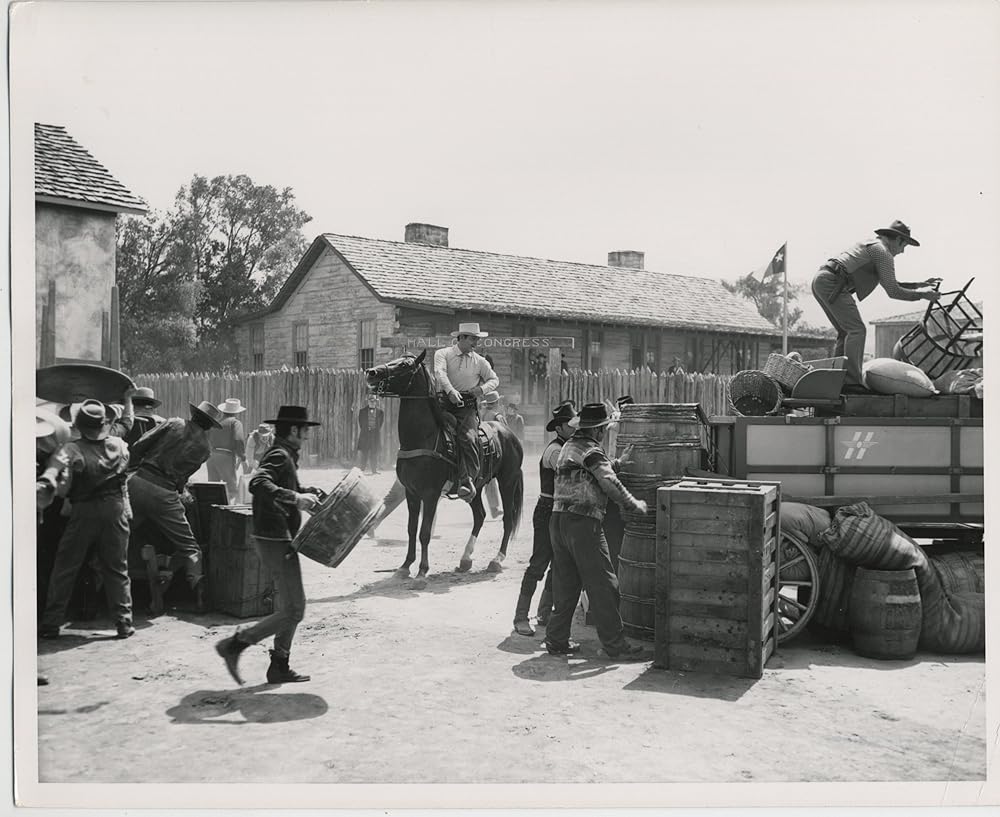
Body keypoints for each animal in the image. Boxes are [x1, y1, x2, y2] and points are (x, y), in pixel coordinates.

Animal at [366, 350, 524, 580]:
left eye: (404, 365)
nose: (371, 372)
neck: (424, 437)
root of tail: (508, 433)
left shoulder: (430, 494)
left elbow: (424, 532)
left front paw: (422, 570)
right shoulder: (411, 493)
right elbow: (411, 529)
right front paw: (405, 566)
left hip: (508, 481)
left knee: (508, 520)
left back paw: (496, 560)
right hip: (476, 488)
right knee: (480, 516)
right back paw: (465, 559)